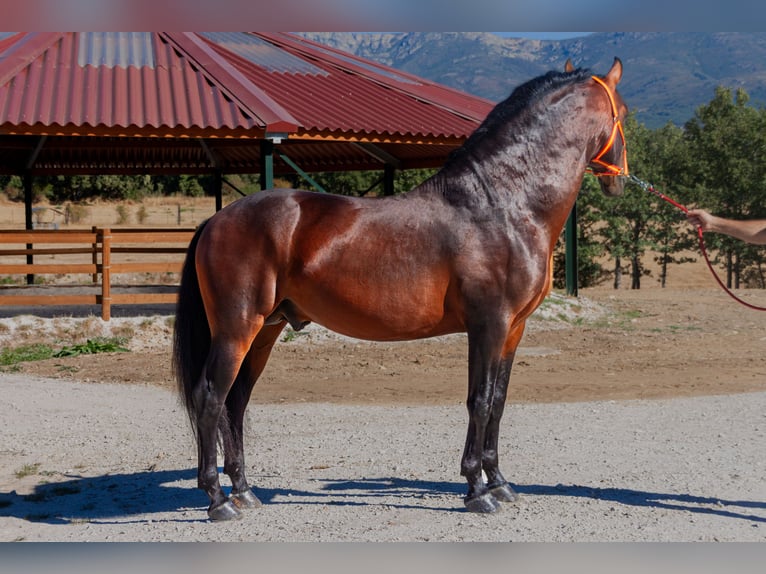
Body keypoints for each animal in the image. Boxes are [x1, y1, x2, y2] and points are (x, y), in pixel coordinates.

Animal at [173, 58, 630, 521]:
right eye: (623, 114)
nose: (620, 181)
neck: (502, 206)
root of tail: (216, 220)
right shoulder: (489, 325)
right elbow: (480, 400)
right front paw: (477, 491)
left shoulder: (513, 330)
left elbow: (498, 401)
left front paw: (500, 484)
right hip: (236, 329)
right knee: (211, 397)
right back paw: (217, 500)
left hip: (265, 330)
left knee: (235, 402)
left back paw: (244, 491)